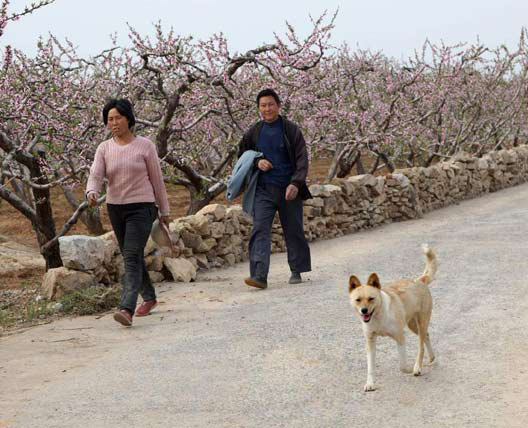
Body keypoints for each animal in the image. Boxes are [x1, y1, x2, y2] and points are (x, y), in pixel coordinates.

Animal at [350, 244, 438, 392]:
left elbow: (402, 366)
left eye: (371, 298)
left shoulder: (400, 338)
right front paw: (370, 383)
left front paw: (409, 369)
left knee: (421, 346)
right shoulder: (370, 342)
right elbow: (370, 367)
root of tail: (419, 281)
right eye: (358, 300)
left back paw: (417, 367)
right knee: (427, 335)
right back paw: (431, 357)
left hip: (421, 323)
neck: (378, 316)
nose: (364, 311)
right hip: (412, 325)